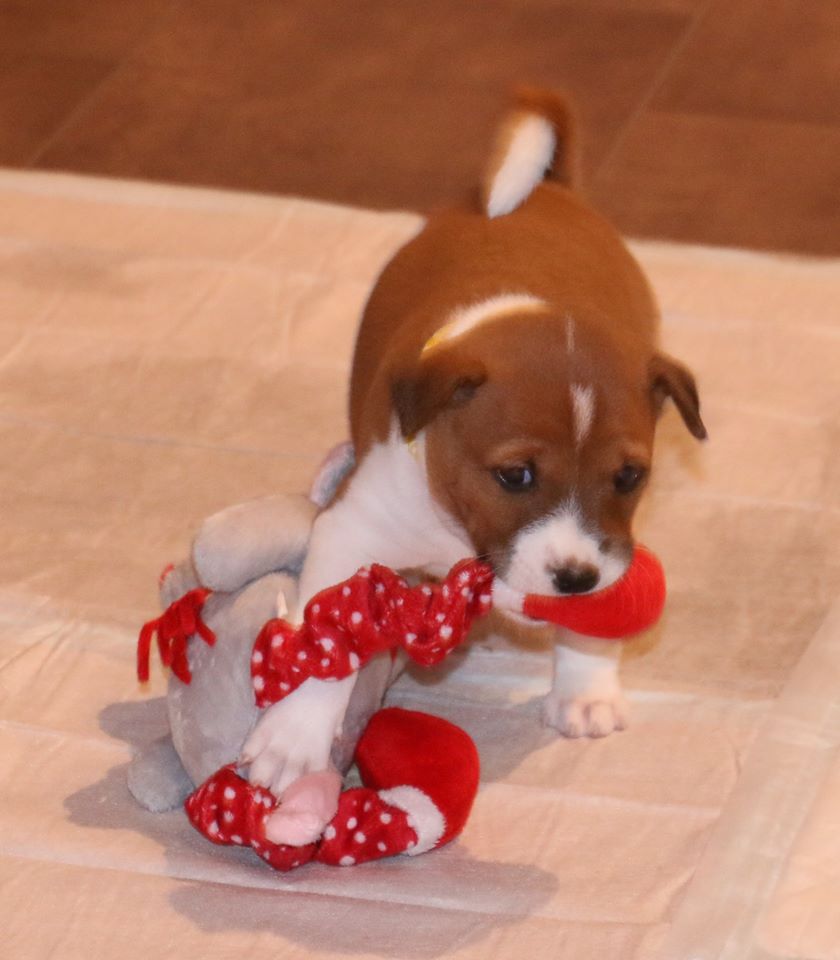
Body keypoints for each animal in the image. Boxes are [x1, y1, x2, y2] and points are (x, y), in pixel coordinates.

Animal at [242, 89, 706, 815]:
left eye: (630, 475)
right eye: (515, 474)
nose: (576, 578)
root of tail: (549, 190)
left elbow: (598, 621)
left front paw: (586, 686)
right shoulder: (352, 531)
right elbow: (327, 641)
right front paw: (293, 739)